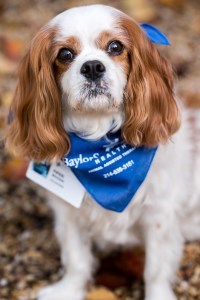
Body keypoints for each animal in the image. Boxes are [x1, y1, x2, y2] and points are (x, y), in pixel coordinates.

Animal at [5, 4, 199, 300]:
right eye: (65, 54)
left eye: (115, 46)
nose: (93, 66)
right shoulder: (68, 215)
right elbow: (76, 259)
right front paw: (69, 290)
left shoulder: (160, 216)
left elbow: (155, 269)